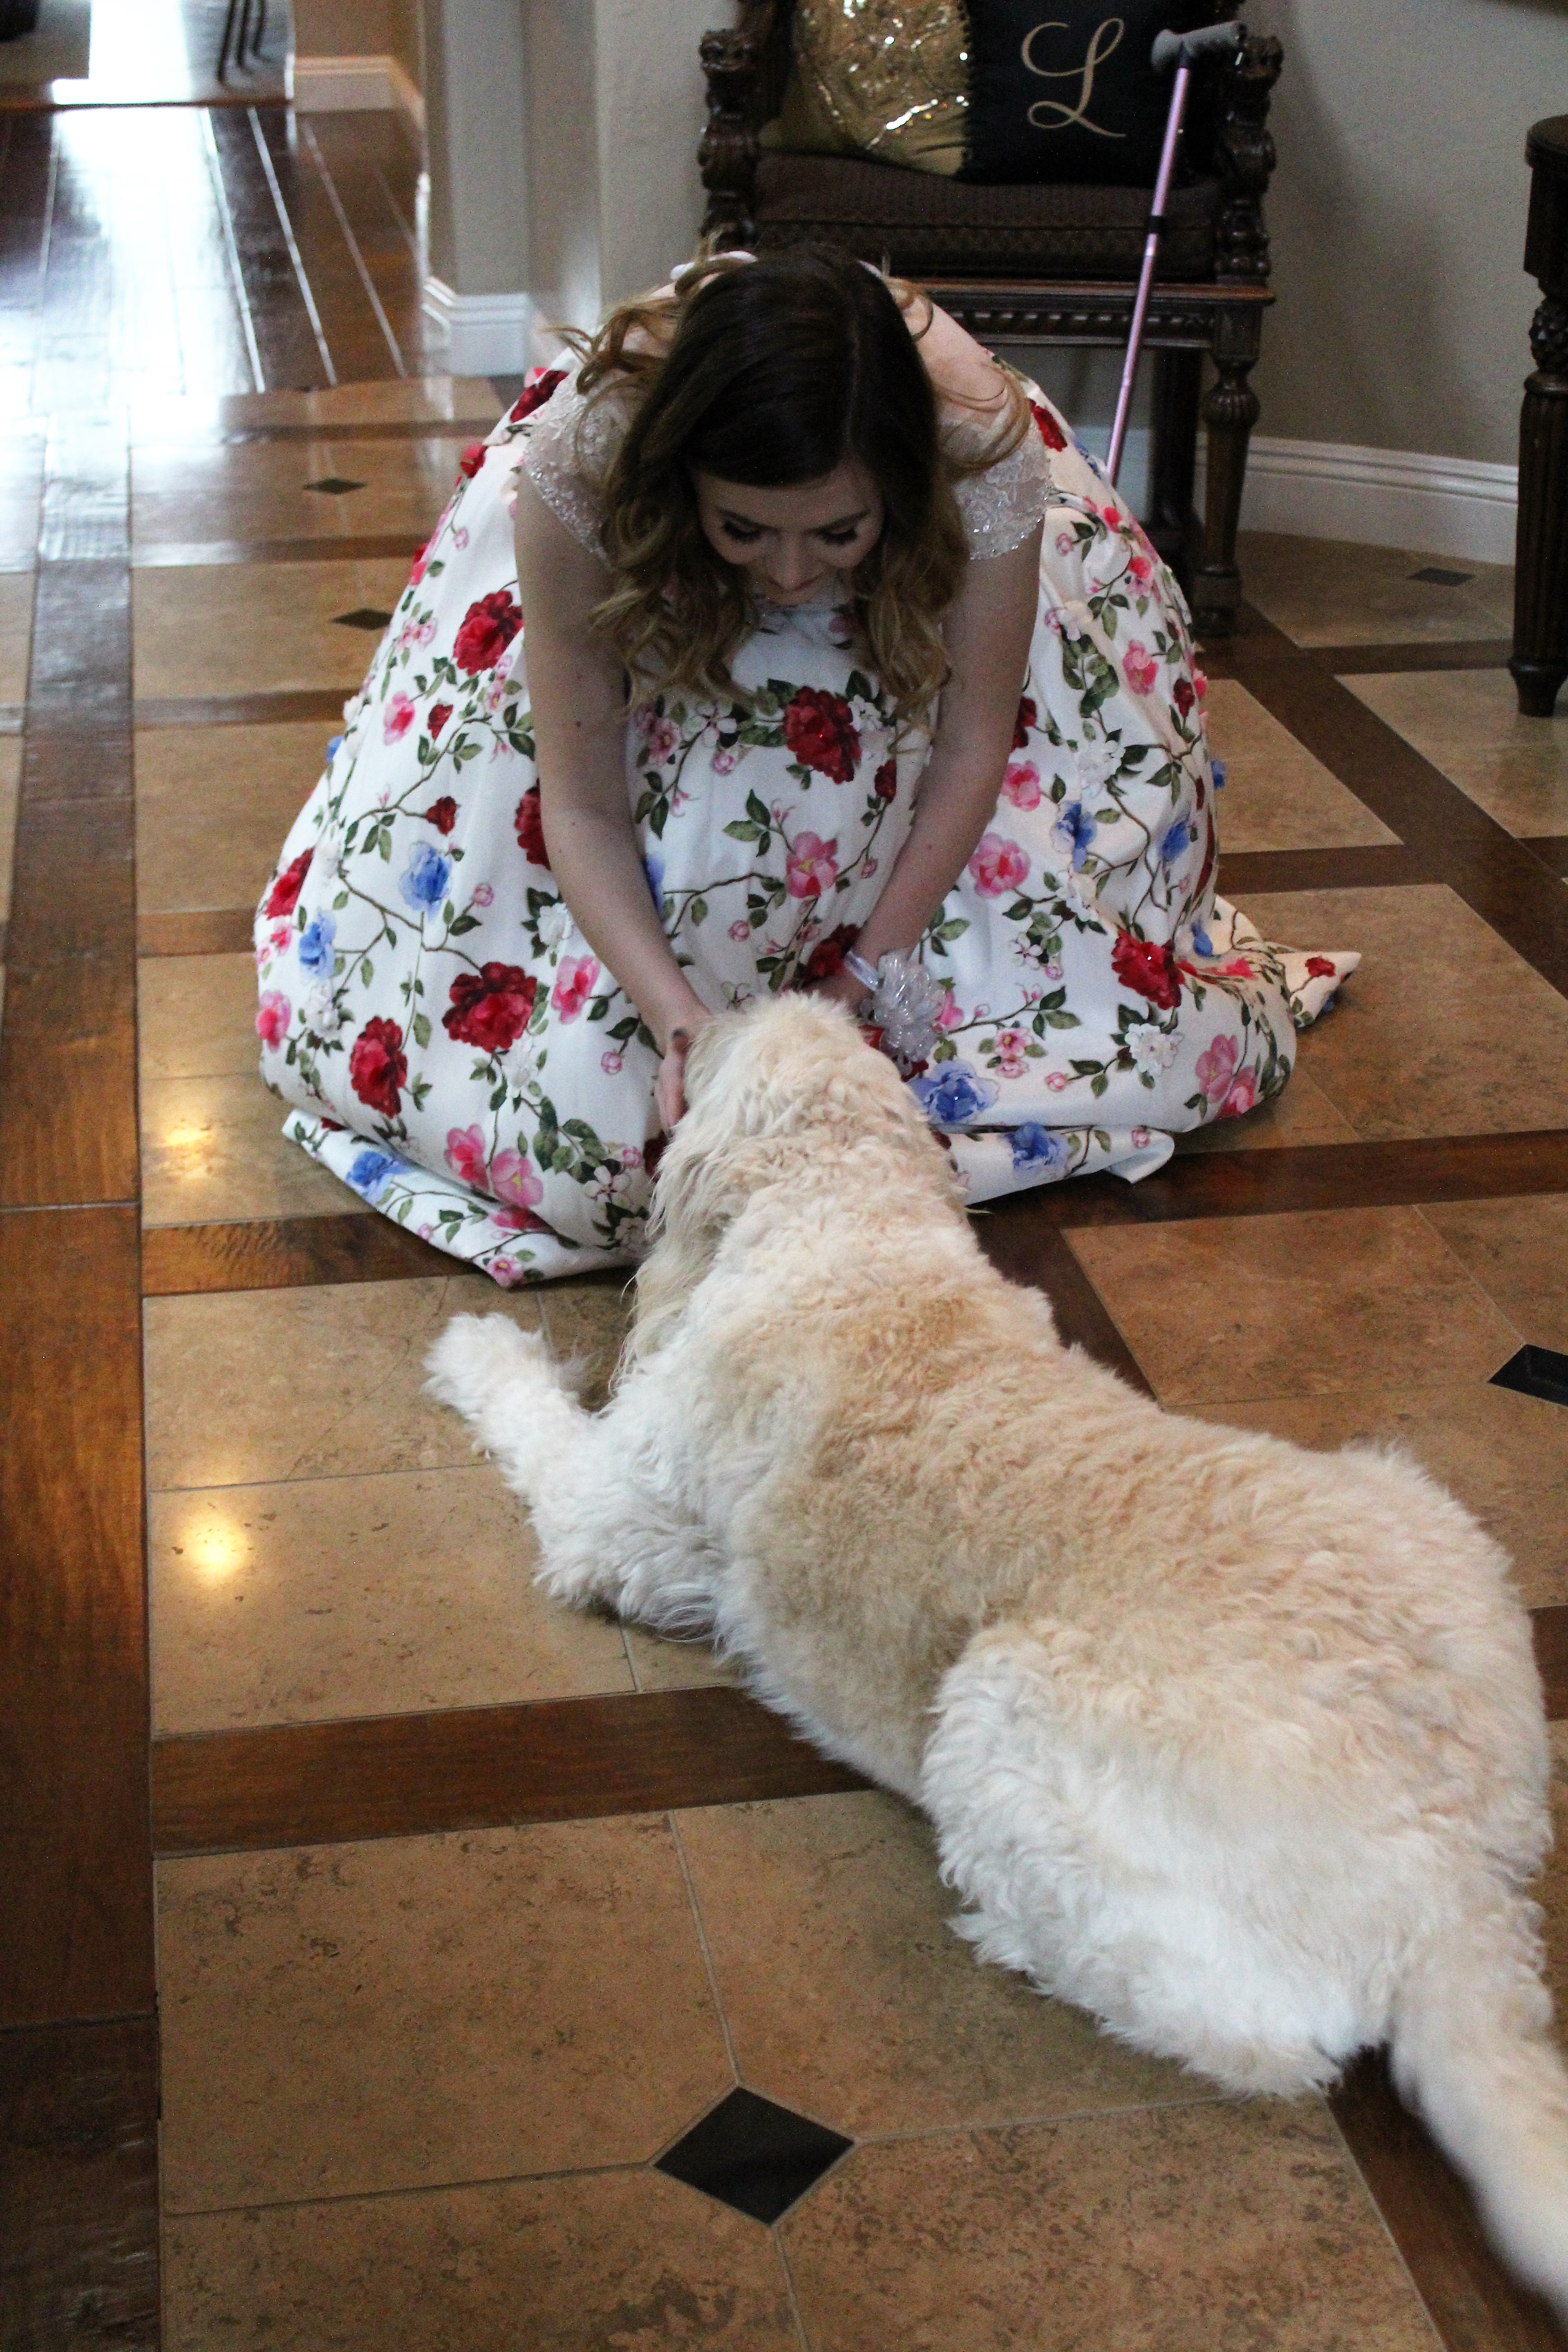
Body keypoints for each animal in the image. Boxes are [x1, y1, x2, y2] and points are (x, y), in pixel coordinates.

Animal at [425, 992, 1568, 2314]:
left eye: (712, 1057)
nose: (707, 1010)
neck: (847, 1214)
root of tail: (1461, 1862)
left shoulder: (617, 1516)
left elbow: (536, 1427)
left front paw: (474, 1351)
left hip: (1000, 1708)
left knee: (1259, 2034)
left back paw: (1015, 1932)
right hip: (1416, 1503)